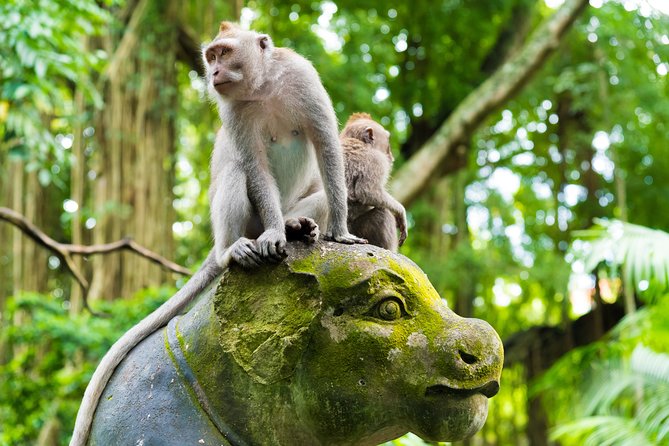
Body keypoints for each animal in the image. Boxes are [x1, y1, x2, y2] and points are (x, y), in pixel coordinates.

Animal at [70, 22, 365, 446]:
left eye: (223, 53)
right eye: (210, 57)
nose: (213, 73)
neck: (263, 88)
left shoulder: (303, 79)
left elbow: (326, 147)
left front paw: (339, 230)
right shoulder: (234, 112)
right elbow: (254, 164)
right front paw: (274, 233)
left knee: (320, 193)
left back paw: (296, 226)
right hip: (241, 227)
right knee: (237, 170)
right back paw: (237, 250)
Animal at [341, 113, 408, 251]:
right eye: (387, 142)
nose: (391, 156)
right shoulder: (375, 160)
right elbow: (367, 192)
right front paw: (400, 211)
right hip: (355, 231)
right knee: (383, 213)